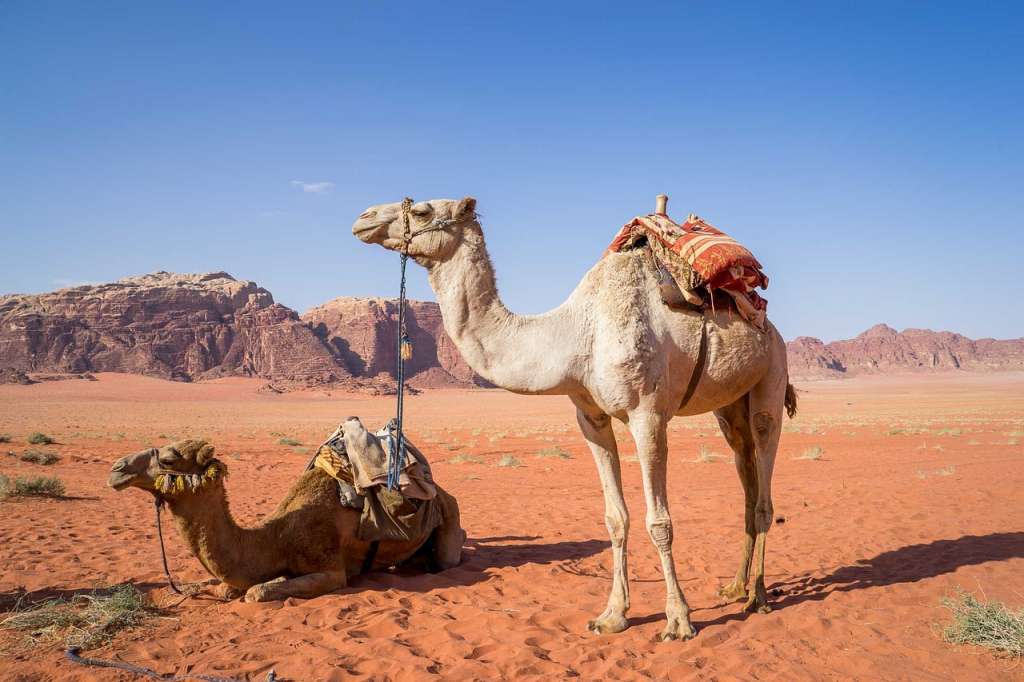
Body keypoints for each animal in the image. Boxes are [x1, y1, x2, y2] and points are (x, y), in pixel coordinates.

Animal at [108, 435, 464, 602]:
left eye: (169, 459)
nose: (117, 469)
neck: (276, 538)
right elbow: (226, 587)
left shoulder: (331, 570)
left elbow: (256, 592)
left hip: (449, 511)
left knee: (448, 556)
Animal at [352, 197, 796, 641]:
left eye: (423, 210)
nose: (363, 218)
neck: (577, 336)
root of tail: (767, 324)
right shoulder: (591, 418)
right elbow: (615, 518)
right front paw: (613, 615)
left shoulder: (648, 414)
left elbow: (659, 521)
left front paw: (678, 620)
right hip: (729, 405)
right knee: (744, 472)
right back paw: (735, 587)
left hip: (771, 375)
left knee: (763, 480)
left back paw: (758, 596)